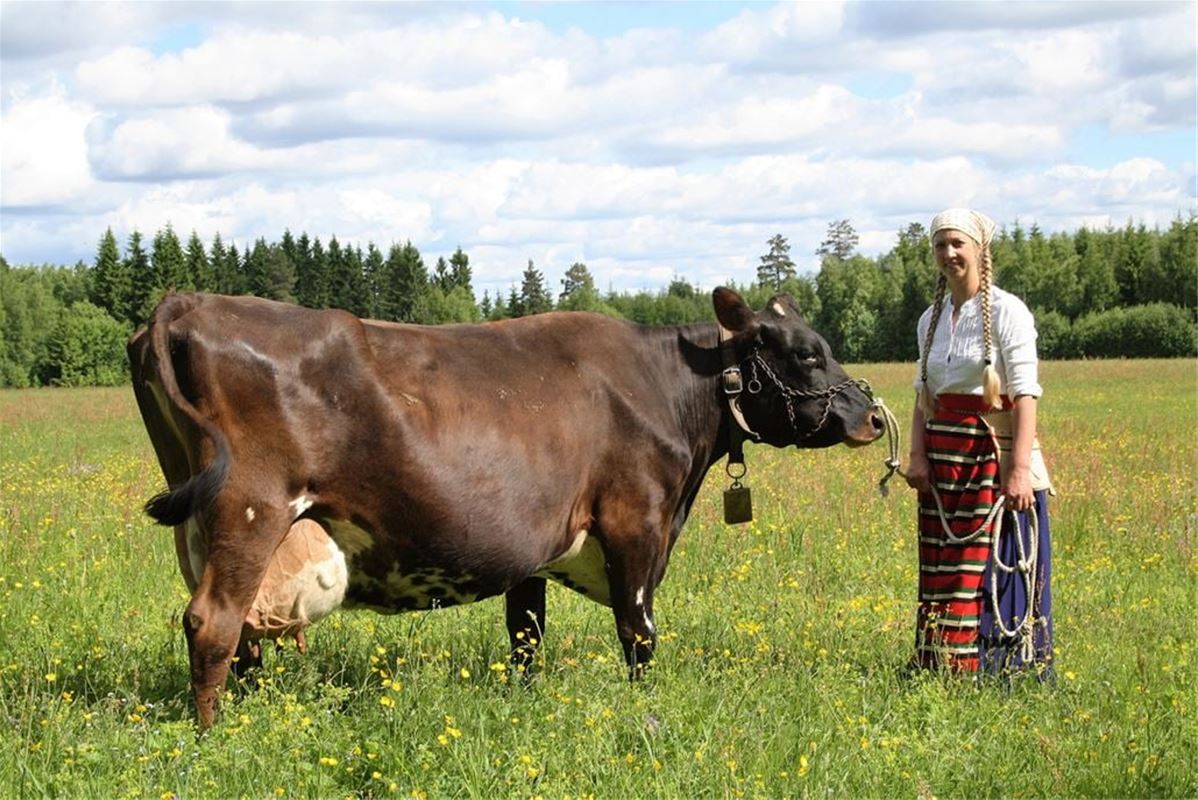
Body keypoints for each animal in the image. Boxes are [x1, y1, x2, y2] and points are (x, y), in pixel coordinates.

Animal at [128, 287, 881, 723]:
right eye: (807, 354)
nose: (873, 416)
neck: (665, 386)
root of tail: (187, 301)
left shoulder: (535, 548)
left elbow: (525, 637)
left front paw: (526, 705)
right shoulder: (636, 521)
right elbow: (639, 634)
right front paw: (646, 713)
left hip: (202, 523)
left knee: (242, 632)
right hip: (250, 509)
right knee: (215, 623)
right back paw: (216, 735)